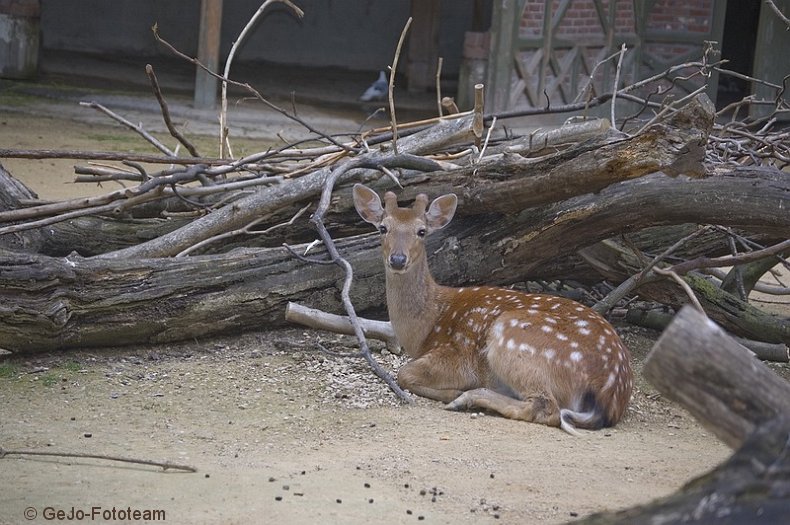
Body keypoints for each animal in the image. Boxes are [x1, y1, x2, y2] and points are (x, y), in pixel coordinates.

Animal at [356, 184, 636, 434]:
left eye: (421, 231)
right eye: (383, 228)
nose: (398, 259)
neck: (426, 326)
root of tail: (609, 393)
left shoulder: (456, 354)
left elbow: (403, 373)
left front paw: (452, 392)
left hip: (512, 337)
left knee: (546, 407)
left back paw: (464, 399)